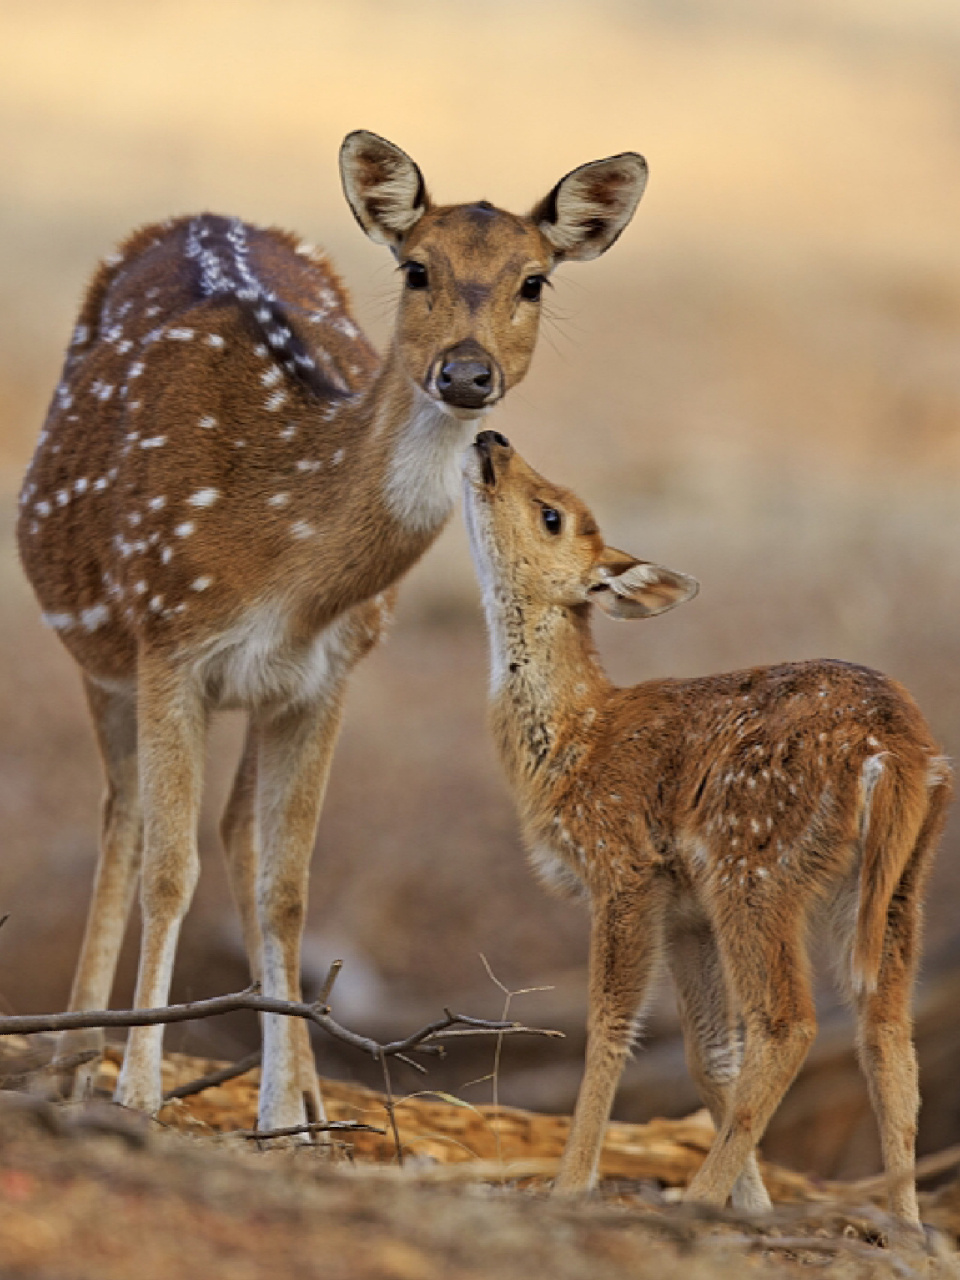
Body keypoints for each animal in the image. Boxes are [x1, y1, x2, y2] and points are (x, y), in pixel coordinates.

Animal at [15, 129, 650, 1131]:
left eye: (535, 280)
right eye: (417, 266)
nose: (466, 374)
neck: (282, 563)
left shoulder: (325, 677)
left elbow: (287, 891)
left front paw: (285, 1117)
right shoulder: (167, 640)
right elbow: (168, 872)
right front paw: (138, 1095)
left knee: (233, 830)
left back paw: (301, 1088)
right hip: (96, 642)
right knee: (123, 819)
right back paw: (72, 1063)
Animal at [463, 430, 957, 1218]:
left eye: (552, 516)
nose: (490, 438)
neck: (576, 738)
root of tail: (896, 748)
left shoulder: (624, 865)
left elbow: (611, 1027)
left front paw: (570, 1184)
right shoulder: (684, 911)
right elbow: (707, 1053)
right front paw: (754, 1207)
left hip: (752, 857)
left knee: (789, 1022)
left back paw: (694, 1197)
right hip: (899, 882)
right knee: (886, 1036)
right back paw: (904, 1226)